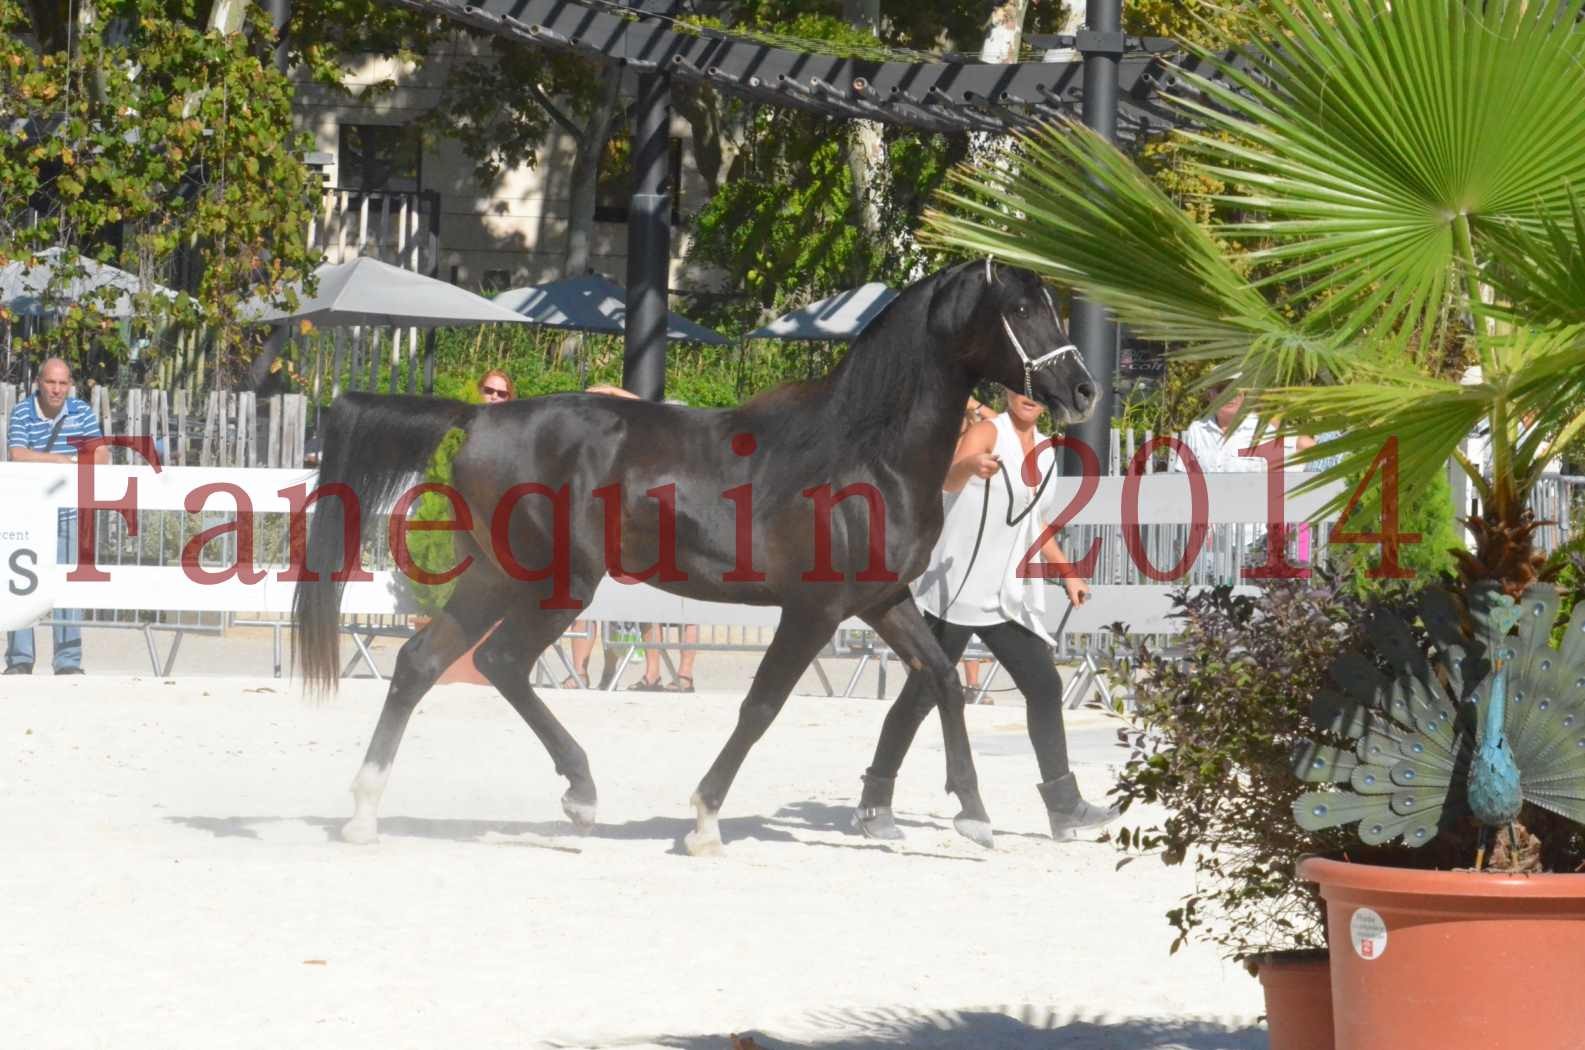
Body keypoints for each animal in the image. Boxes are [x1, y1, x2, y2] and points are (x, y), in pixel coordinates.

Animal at [291, 261, 1096, 856]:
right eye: (1022, 310)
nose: (1083, 389)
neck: (864, 453)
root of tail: (480, 416)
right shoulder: (812, 609)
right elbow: (762, 704)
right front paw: (704, 819)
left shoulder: (882, 601)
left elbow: (942, 681)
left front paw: (974, 815)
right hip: (557, 584)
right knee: (498, 662)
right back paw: (579, 794)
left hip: (496, 577)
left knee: (424, 663)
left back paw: (366, 813)